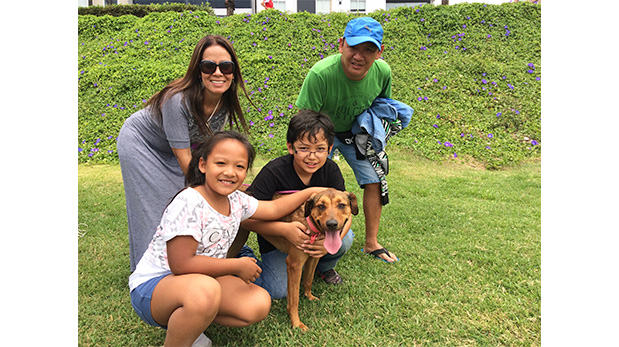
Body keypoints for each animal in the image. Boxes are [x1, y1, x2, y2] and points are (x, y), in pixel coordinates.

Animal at [228, 188, 358, 332]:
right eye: (321, 206)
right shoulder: (294, 264)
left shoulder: (313, 258)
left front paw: (309, 296)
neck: (309, 224)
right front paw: (296, 323)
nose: (331, 224)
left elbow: (308, 280)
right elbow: (294, 299)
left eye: (341, 205)